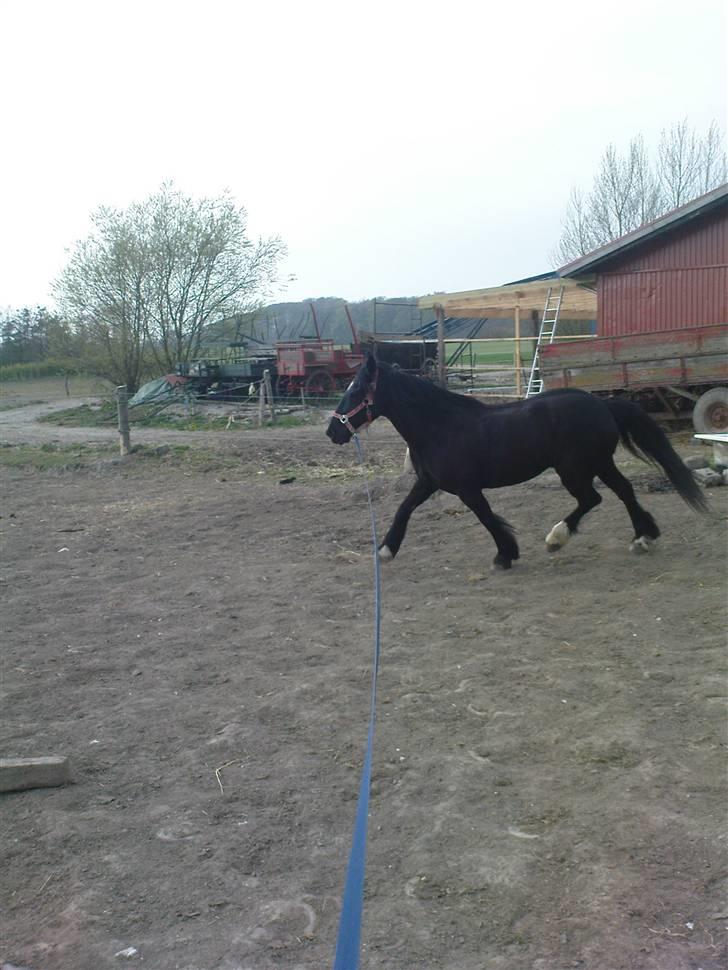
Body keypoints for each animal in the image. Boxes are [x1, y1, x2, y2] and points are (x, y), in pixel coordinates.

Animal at [326, 354, 707, 570]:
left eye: (356, 391)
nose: (332, 430)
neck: (440, 426)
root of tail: (603, 404)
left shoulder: (467, 489)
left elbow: (487, 518)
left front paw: (505, 554)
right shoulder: (429, 482)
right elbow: (404, 509)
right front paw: (386, 550)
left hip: (574, 470)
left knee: (592, 498)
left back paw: (556, 538)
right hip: (599, 463)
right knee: (624, 491)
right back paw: (644, 537)